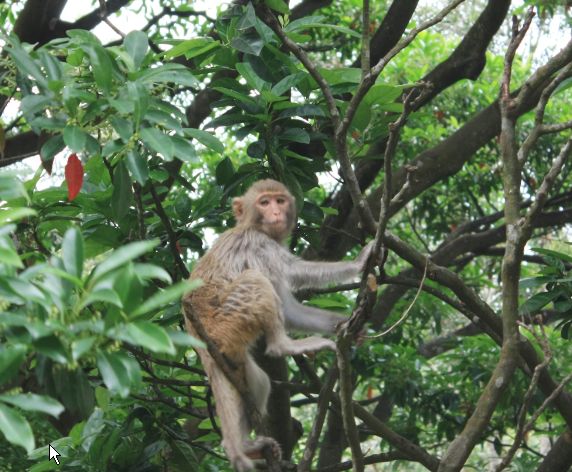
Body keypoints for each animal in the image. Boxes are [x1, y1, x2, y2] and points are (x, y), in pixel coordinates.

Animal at [181, 179, 374, 470]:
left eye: (279, 200)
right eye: (264, 202)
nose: (275, 212)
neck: (252, 226)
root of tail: (200, 342)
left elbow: (290, 310)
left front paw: (344, 324)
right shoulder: (260, 245)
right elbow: (295, 272)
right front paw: (358, 263)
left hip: (232, 356)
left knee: (259, 381)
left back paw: (243, 447)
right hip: (226, 320)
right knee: (255, 280)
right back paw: (282, 346)